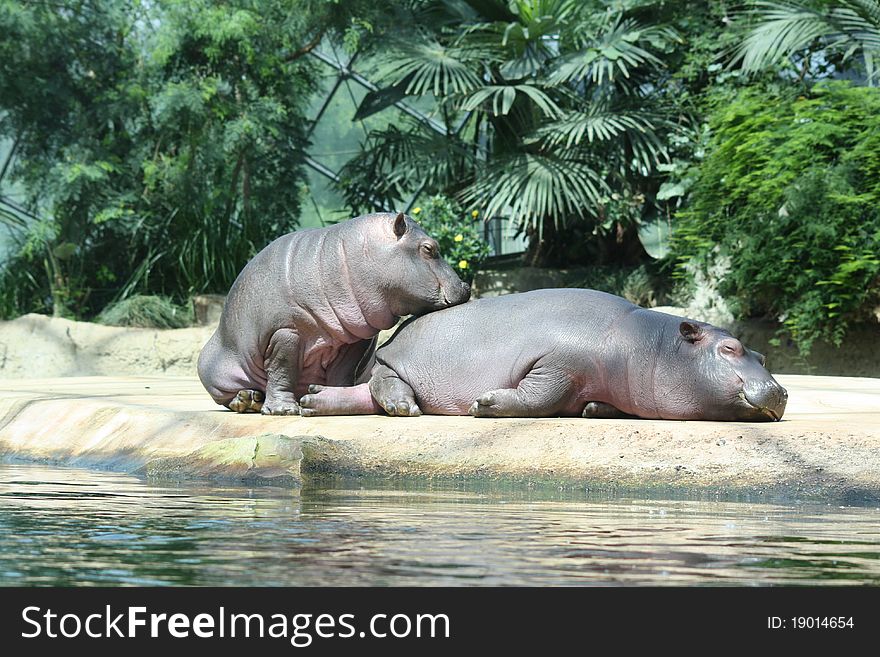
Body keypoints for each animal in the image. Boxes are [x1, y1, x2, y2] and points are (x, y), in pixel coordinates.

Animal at [196, 213, 470, 412]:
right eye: (429, 248)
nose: (467, 286)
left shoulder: (355, 337)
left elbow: (343, 372)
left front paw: (331, 394)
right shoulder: (285, 332)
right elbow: (282, 370)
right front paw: (283, 410)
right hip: (213, 369)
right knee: (227, 396)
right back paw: (247, 399)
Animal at [300, 288, 792, 420]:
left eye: (762, 355)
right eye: (729, 347)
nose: (783, 391)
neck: (649, 345)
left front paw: (593, 410)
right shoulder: (556, 364)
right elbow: (541, 397)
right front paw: (485, 403)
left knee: (363, 396)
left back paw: (311, 402)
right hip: (396, 361)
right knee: (386, 384)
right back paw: (403, 407)